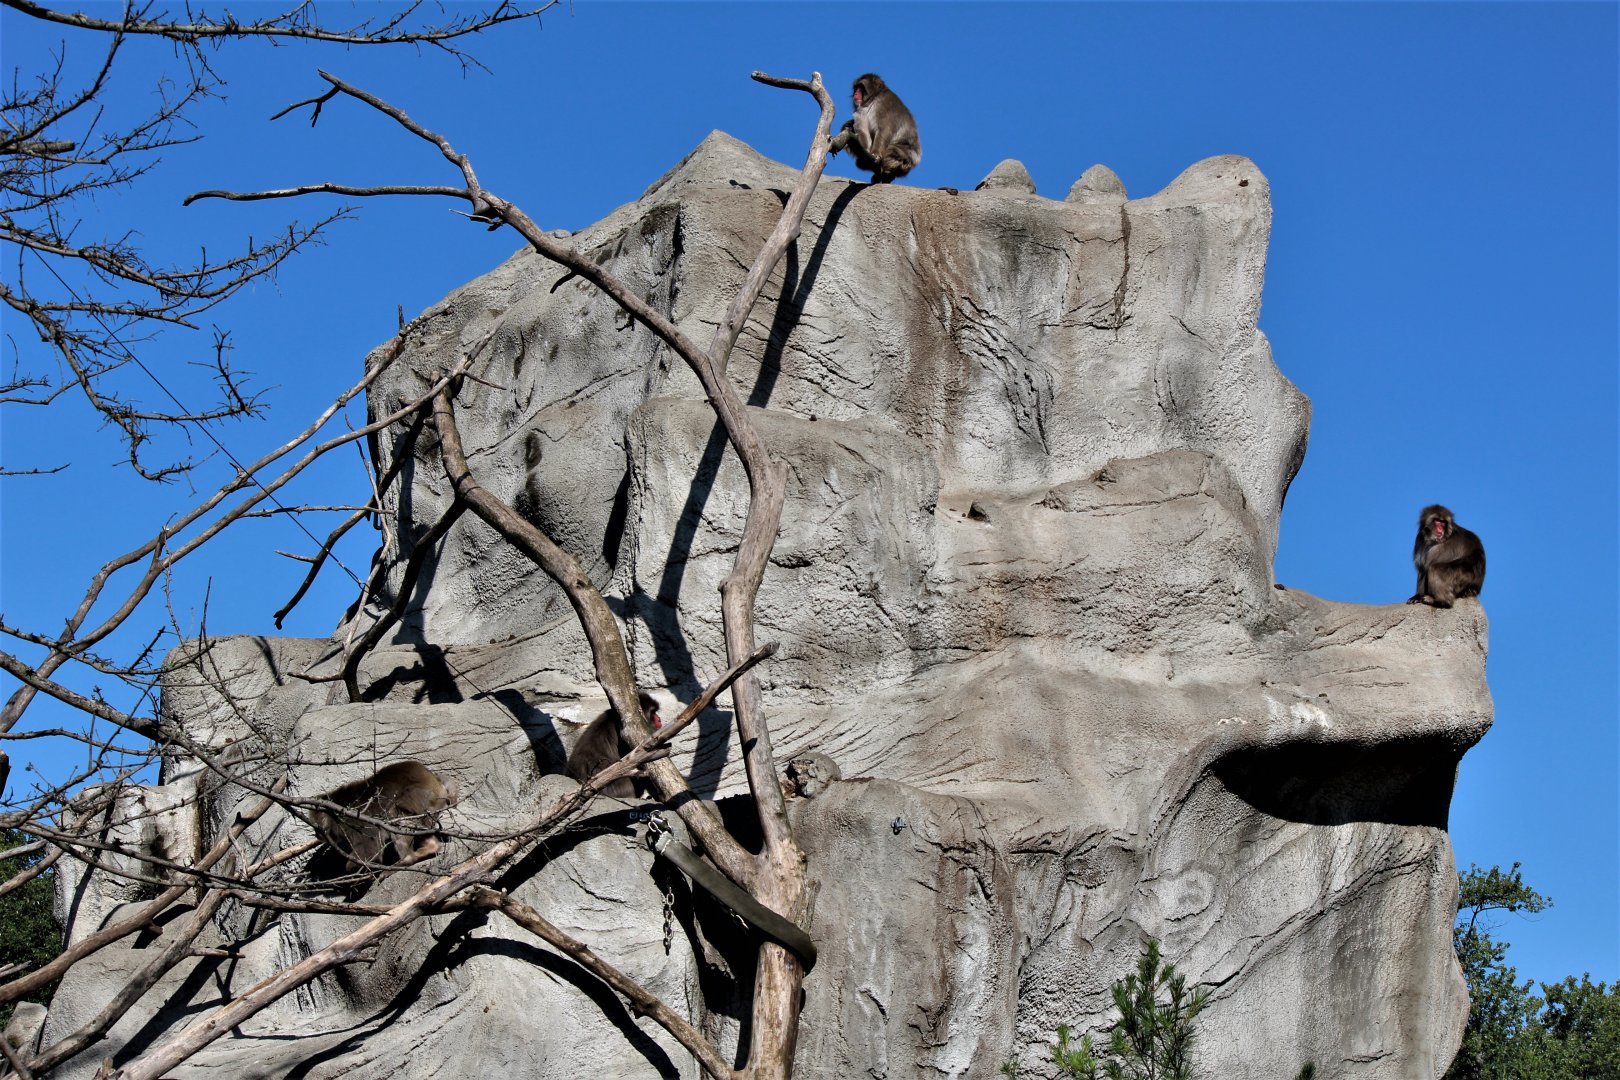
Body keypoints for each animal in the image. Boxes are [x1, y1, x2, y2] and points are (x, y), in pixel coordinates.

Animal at [309, 761, 454, 874]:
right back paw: (431, 846)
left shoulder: (356, 820)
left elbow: (370, 852)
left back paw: (406, 860)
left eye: (316, 827)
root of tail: (438, 783)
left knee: (396, 813)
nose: (317, 834)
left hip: (423, 797)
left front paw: (353, 868)